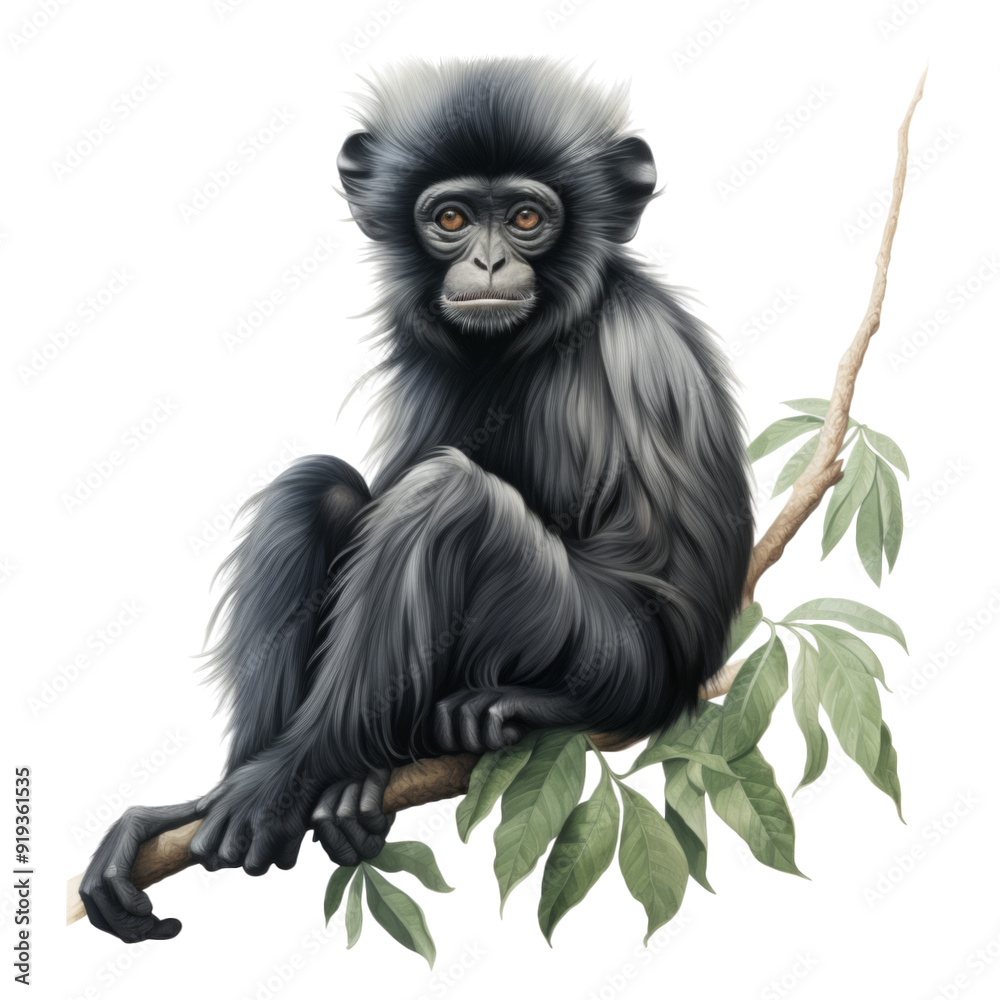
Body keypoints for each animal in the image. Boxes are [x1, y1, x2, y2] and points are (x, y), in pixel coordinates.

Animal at [79, 57, 754, 943]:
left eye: (528, 217)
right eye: (453, 217)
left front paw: (302, 779)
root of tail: (678, 684)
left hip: (608, 648)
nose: (492, 264)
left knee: (447, 499)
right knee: (319, 488)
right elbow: (366, 492)